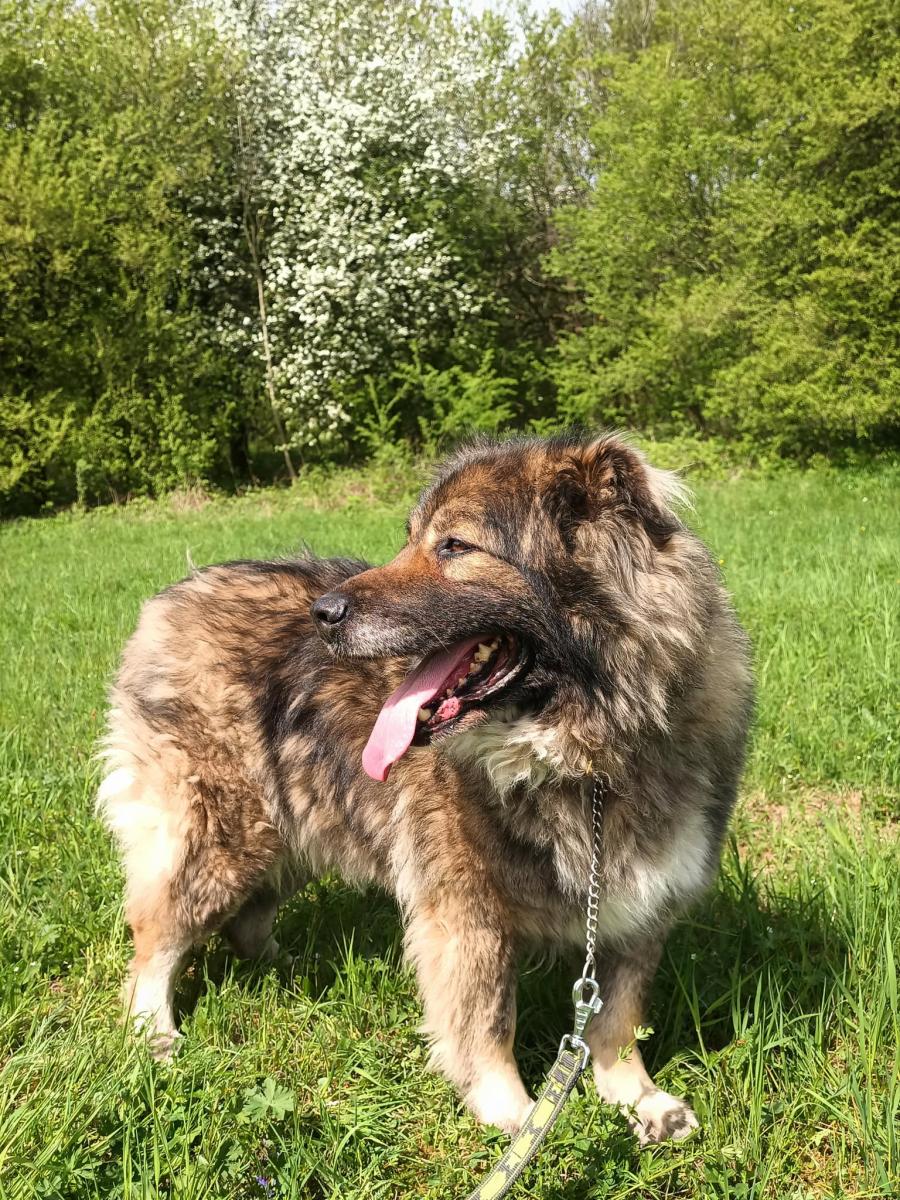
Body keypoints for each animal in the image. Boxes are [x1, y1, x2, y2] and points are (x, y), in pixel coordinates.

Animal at [99, 431, 752, 1144]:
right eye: (410, 539)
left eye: (454, 546)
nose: (324, 613)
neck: (587, 752)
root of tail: (173, 596)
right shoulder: (467, 912)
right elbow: (489, 1019)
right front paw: (516, 1117)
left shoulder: (640, 903)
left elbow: (616, 1020)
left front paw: (636, 1098)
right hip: (221, 834)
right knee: (156, 934)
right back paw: (153, 1032)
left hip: (297, 822)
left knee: (247, 917)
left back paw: (286, 967)